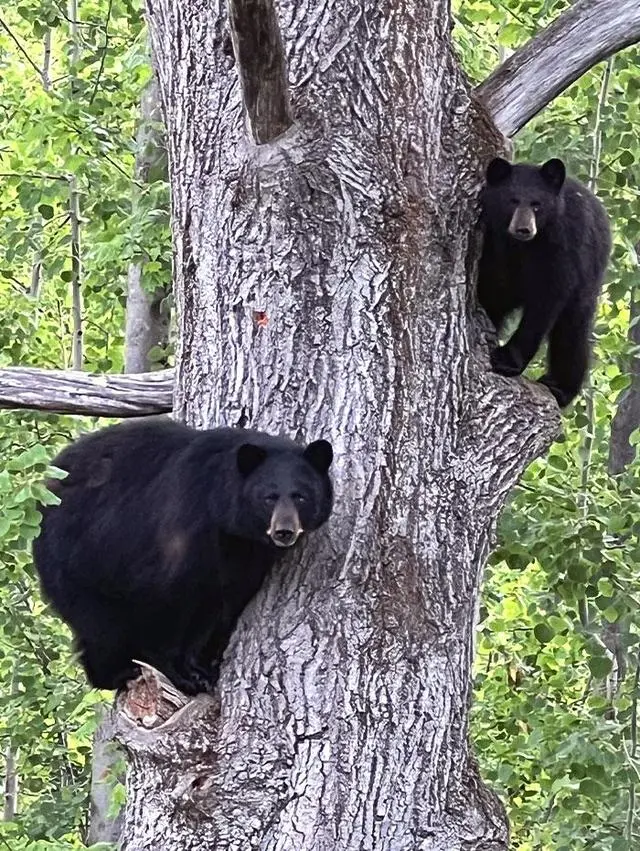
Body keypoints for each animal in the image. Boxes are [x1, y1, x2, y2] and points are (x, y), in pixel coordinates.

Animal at [31, 416, 332, 696]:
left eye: (300, 496)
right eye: (269, 497)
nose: (284, 531)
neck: (221, 512)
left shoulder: (238, 555)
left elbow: (216, 604)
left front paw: (200, 669)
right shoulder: (181, 531)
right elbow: (164, 599)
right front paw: (181, 674)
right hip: (74, 556)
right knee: (99, 623)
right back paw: (116, 672)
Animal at [480, 157, 608, 410]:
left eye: (537, 205)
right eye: (512, 200)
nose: (524, 229)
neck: (523, 247)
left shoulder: (562, 247)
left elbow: (546, 301)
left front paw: (507, 359)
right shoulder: (495, 247)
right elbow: (492, 290)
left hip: (589, 276)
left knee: (572, 331)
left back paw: (560, 386)